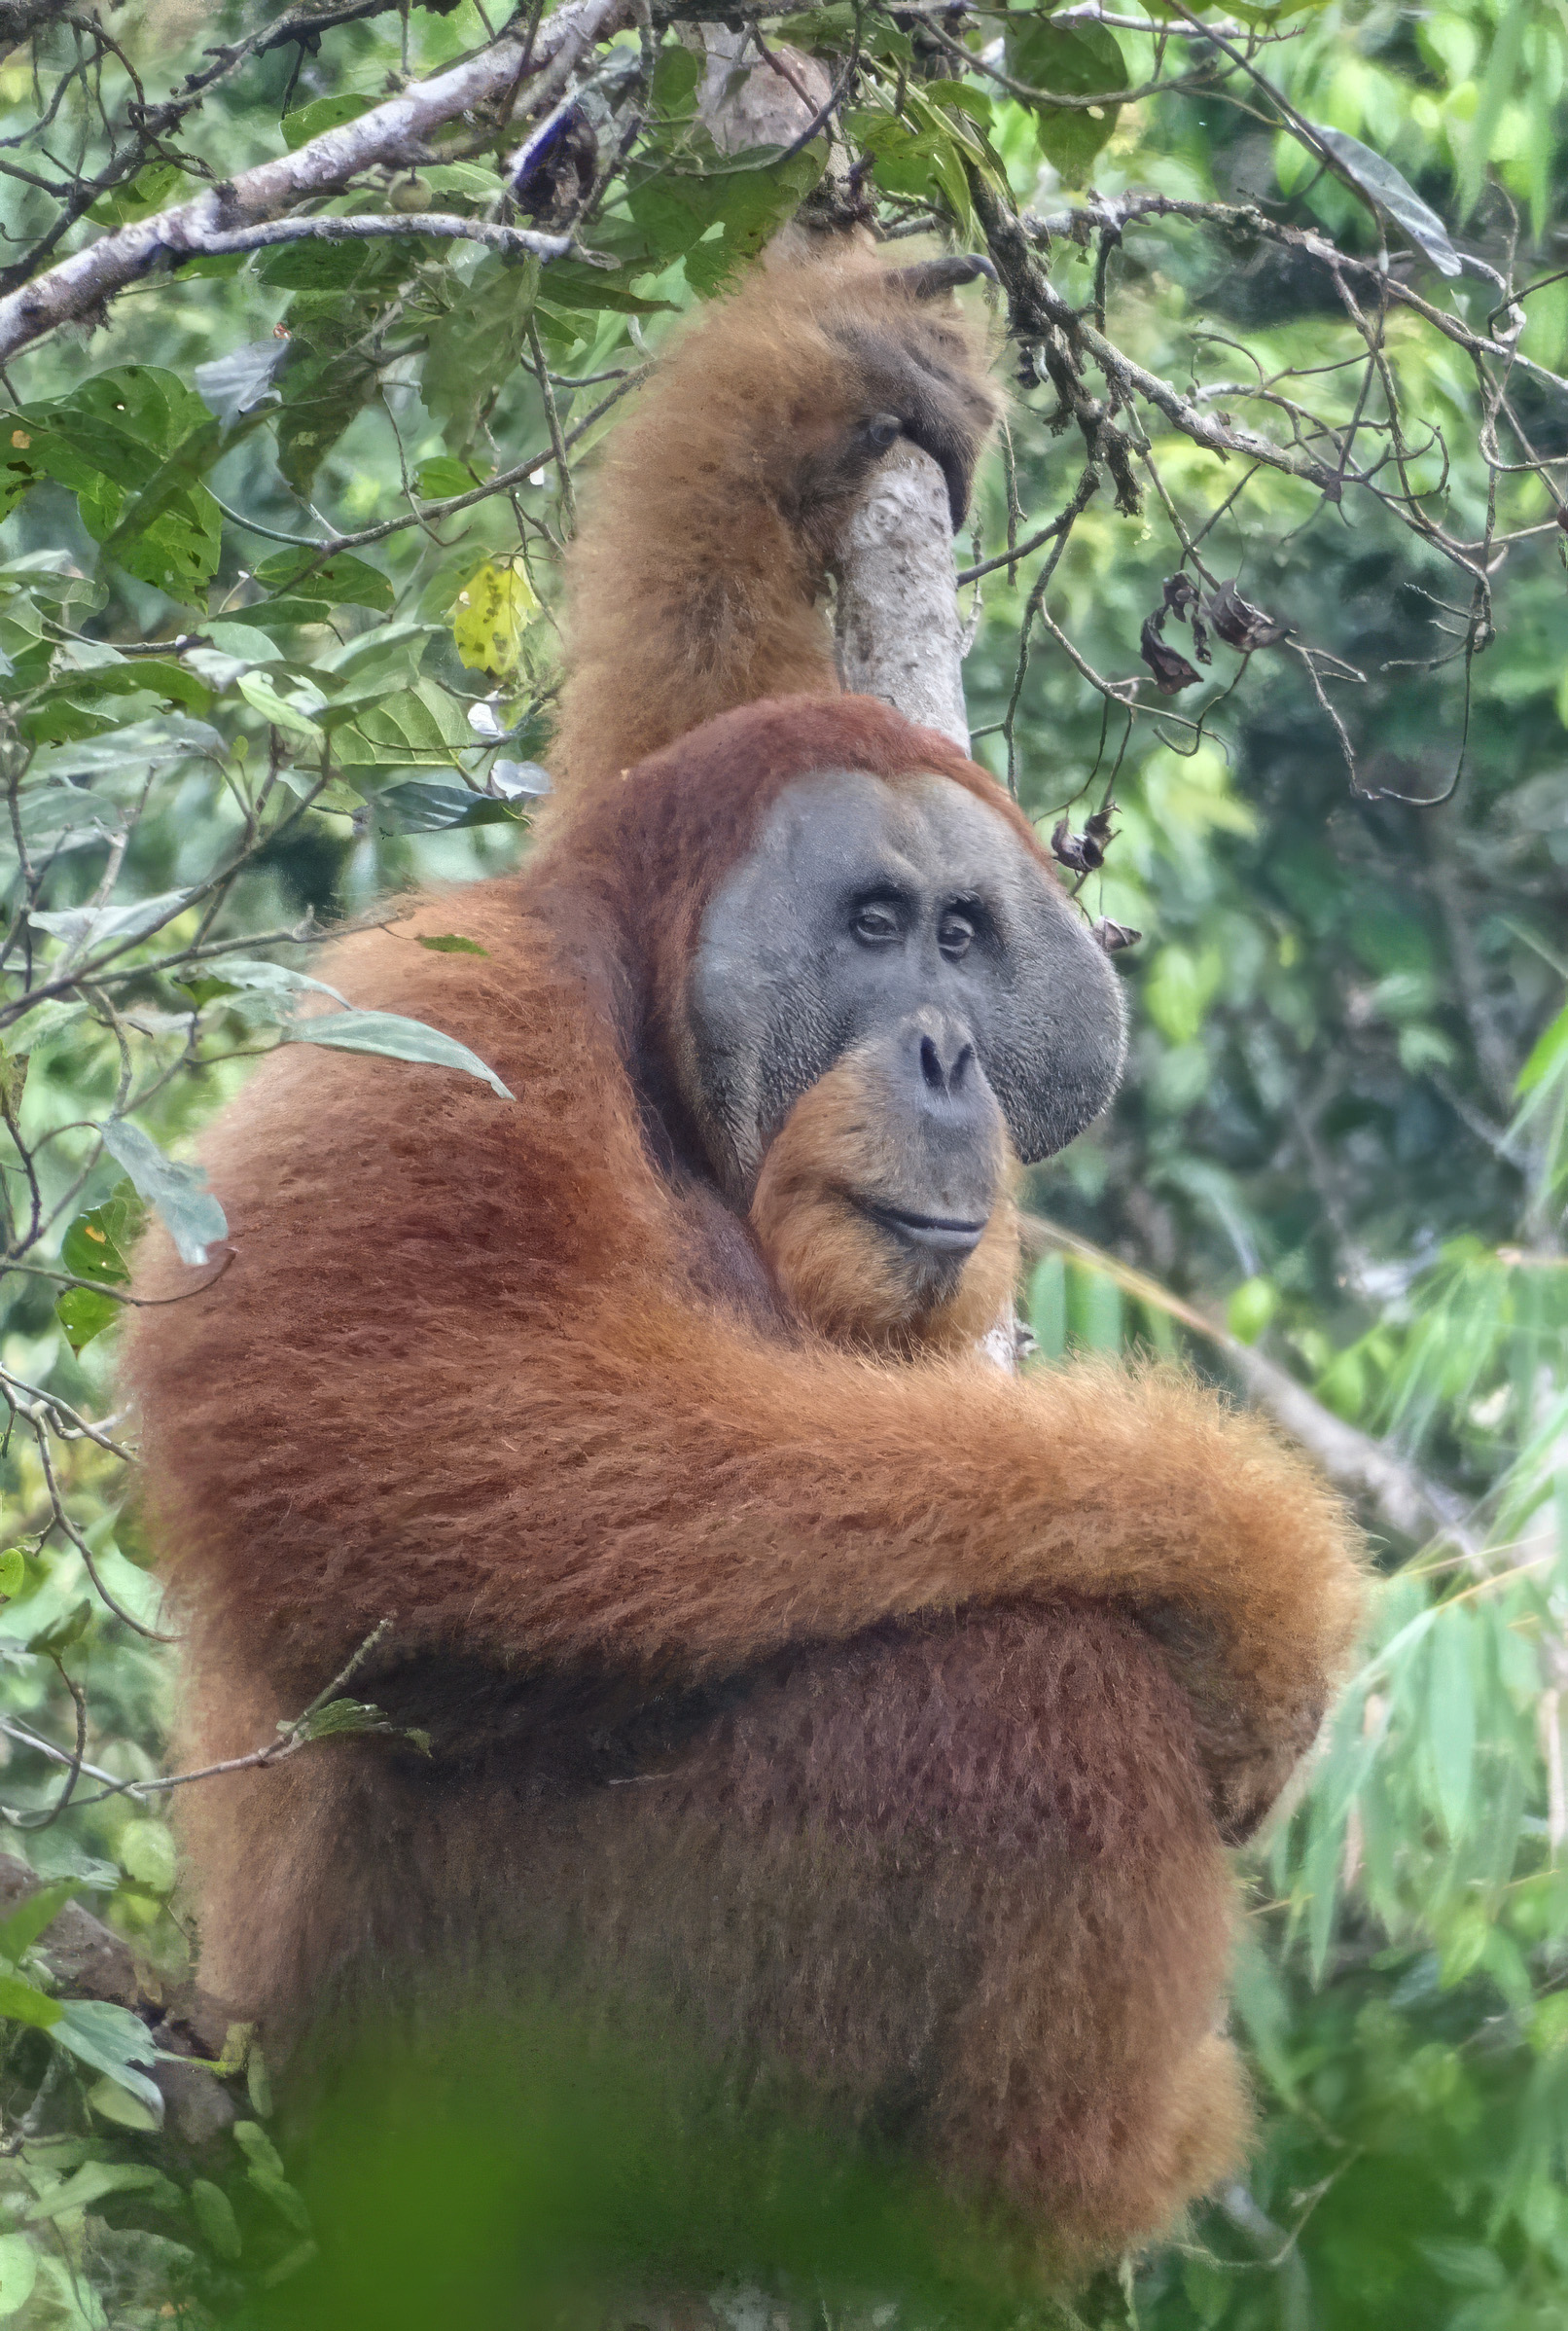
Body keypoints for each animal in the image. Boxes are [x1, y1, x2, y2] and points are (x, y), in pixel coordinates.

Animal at [125, 251, 1365, 2275]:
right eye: (868, 927)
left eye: (965, 938)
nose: (943, 1051)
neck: (657, 1070)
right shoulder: (453, 1021)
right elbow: (378, 1439)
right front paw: (1239, 1553)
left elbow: (669, 693)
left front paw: (811, 377)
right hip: (495, 2062)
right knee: (1041, 1687)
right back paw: (1064, 2178)